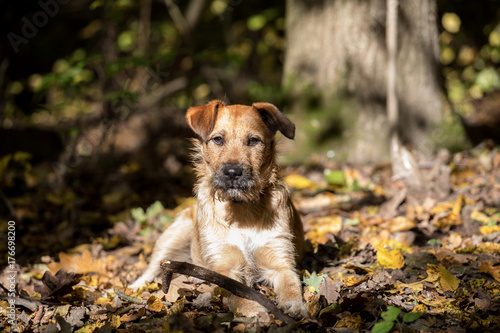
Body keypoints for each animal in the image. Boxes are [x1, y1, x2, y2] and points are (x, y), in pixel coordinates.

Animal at [130, 100, 308, 318]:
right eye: (218, 139)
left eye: (253, 141)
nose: (232, 172)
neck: (241, 210)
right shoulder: (224, 268)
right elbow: (237, 294)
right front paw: (253, 310)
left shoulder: (280, 261)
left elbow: (291, 284)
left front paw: (294, 304)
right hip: (173, 238)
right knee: (150, 271)